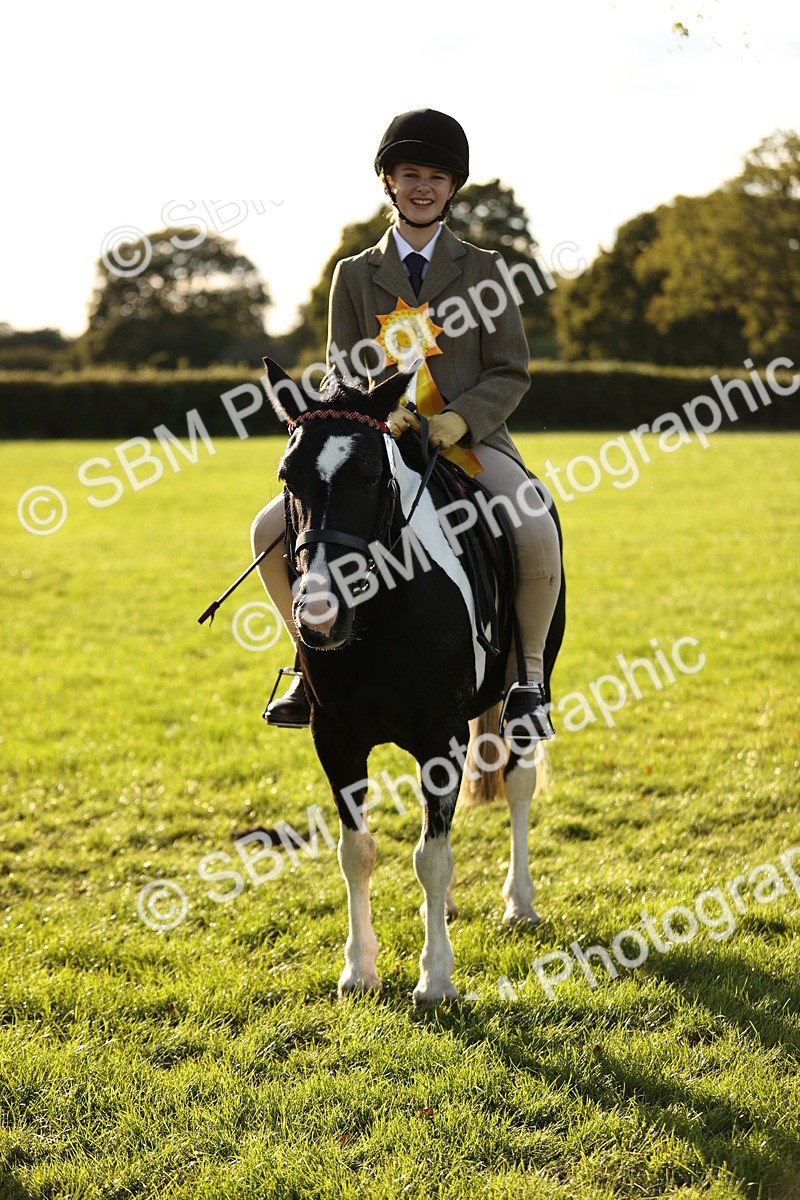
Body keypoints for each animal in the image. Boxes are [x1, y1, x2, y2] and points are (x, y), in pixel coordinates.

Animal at [262, 357, 565, 1005]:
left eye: (372, 474)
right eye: (287, 476)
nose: (319, 616)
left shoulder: (441, 738)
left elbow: (431, 857)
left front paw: (436, 979)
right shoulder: (337, 740)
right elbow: (358, 852)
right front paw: (359, 970)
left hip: (523, 696)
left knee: (517, 785)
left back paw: (519, 904)